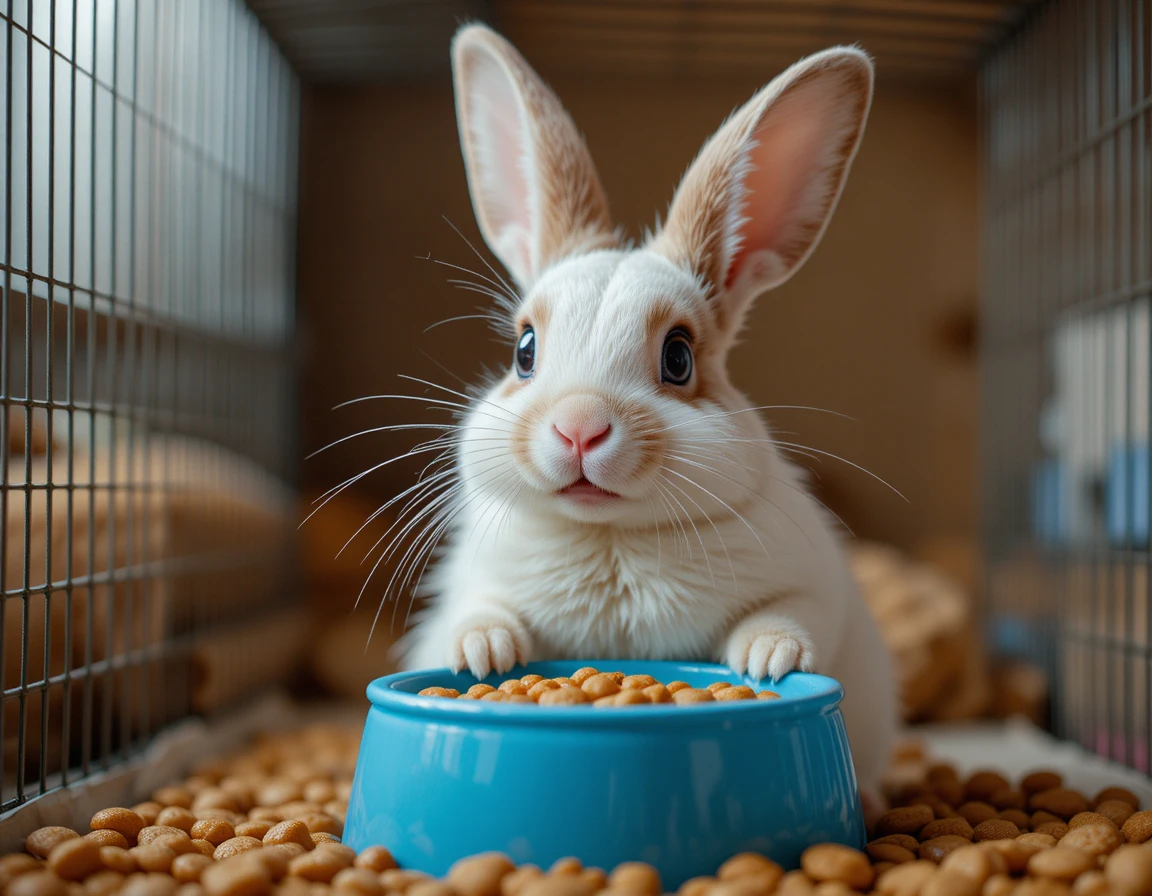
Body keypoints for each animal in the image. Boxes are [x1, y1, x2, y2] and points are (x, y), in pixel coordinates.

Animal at [397, 23, 898, 793]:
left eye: (679, 358)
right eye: (524, 351)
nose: (578, 428)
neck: (610, 539)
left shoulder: (816, 588)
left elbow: (792, 617)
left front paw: (767, 658)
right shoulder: (475, 580)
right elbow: (482, 610)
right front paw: (482, 651)